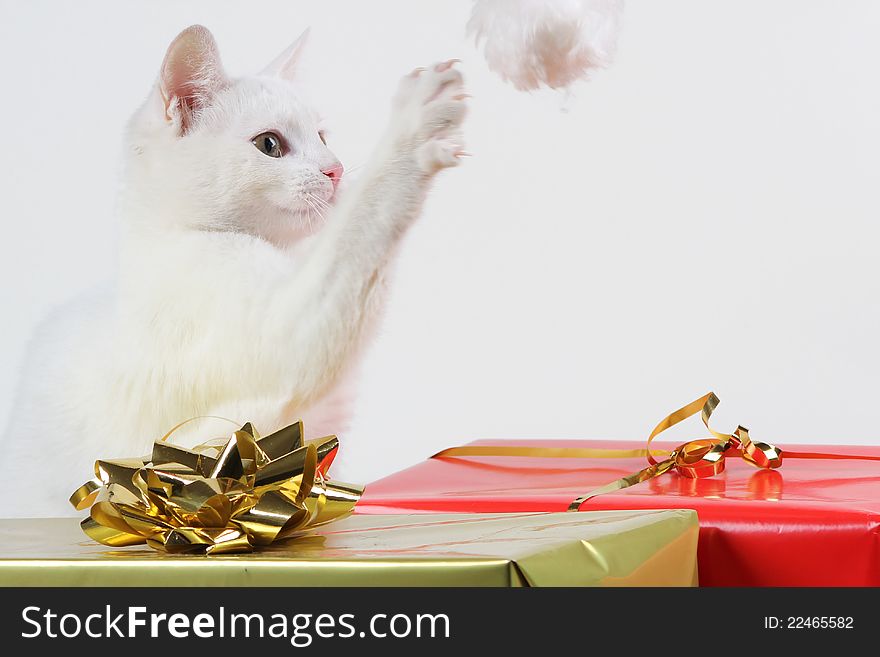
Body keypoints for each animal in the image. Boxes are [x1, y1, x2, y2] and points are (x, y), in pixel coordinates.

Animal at [0, 25, 468, 516]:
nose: (336, 170)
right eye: (269, 145)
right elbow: (362, 223)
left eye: (322, 136)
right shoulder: (283, 336)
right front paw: (415, 126)